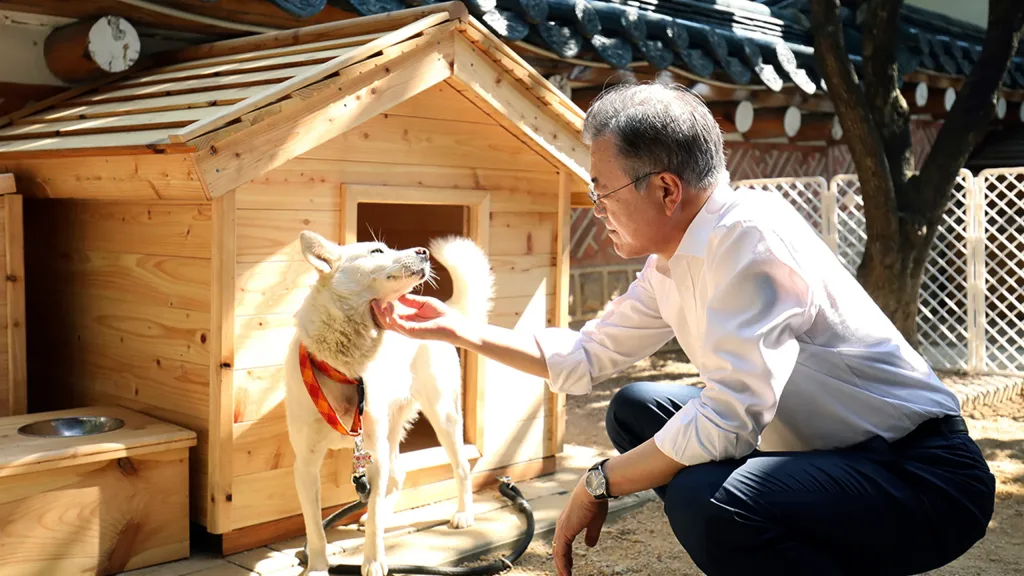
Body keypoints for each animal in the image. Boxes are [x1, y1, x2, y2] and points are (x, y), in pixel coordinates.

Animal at [282, 229, 493, 573]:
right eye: (377, 251)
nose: (423, 252)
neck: (344, 367)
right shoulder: (306, 463)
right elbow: (314, 529)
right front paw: (317, 567)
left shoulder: (373, 454)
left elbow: (375, 525)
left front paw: (373, 561)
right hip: (393, 429)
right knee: (398, 475)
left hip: (443, 415)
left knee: (460, 466)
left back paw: (463, 514)